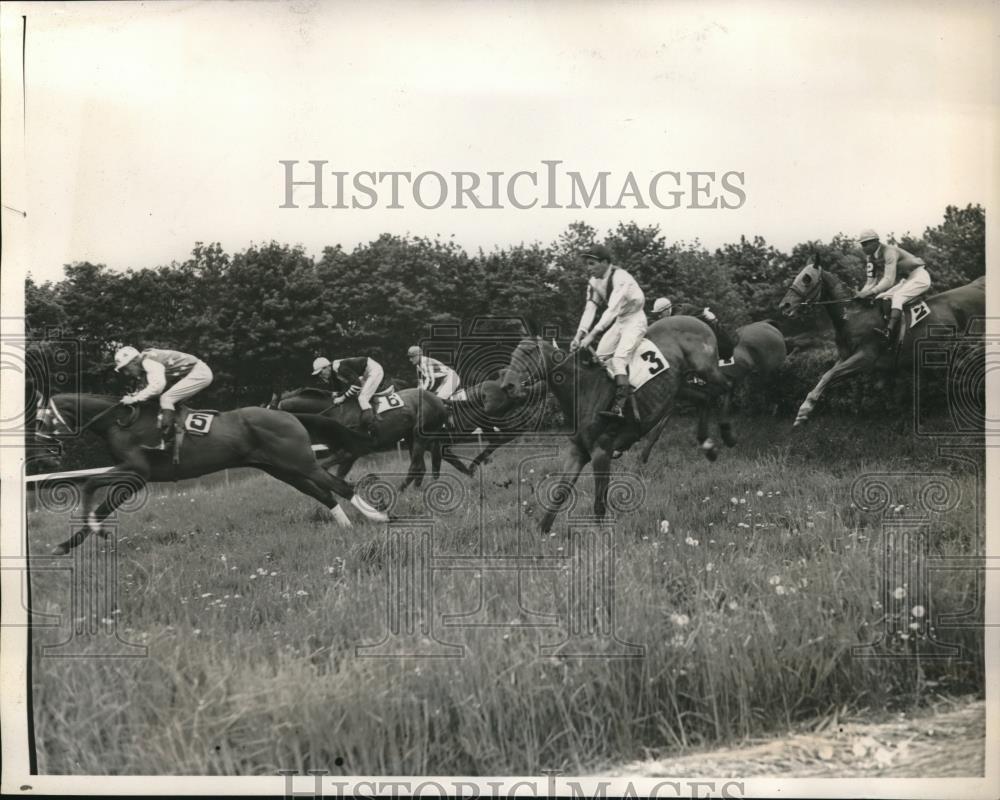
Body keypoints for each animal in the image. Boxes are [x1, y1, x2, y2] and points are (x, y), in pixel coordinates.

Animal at [35, 390, 388, 552]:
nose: (46, 458)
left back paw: (380, 517)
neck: (119, 422)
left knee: (340, 486)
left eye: (42, 421)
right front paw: (68, 544)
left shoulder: (136, 471)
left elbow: (91, 486)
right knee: (324, 492)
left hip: (300, 463)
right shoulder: (134, 476)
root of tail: (290, 415)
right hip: (282, 468)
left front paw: (89, 533)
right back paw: (346, 526)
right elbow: (102, 502)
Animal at [772, 260, 984, 424]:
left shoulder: (865, 358)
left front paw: (804, 409)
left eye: (807, 279)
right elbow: (828, 376)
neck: (852, 315)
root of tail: (979, 285)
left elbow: (829, 375)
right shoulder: (847, 358)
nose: (784, 306)